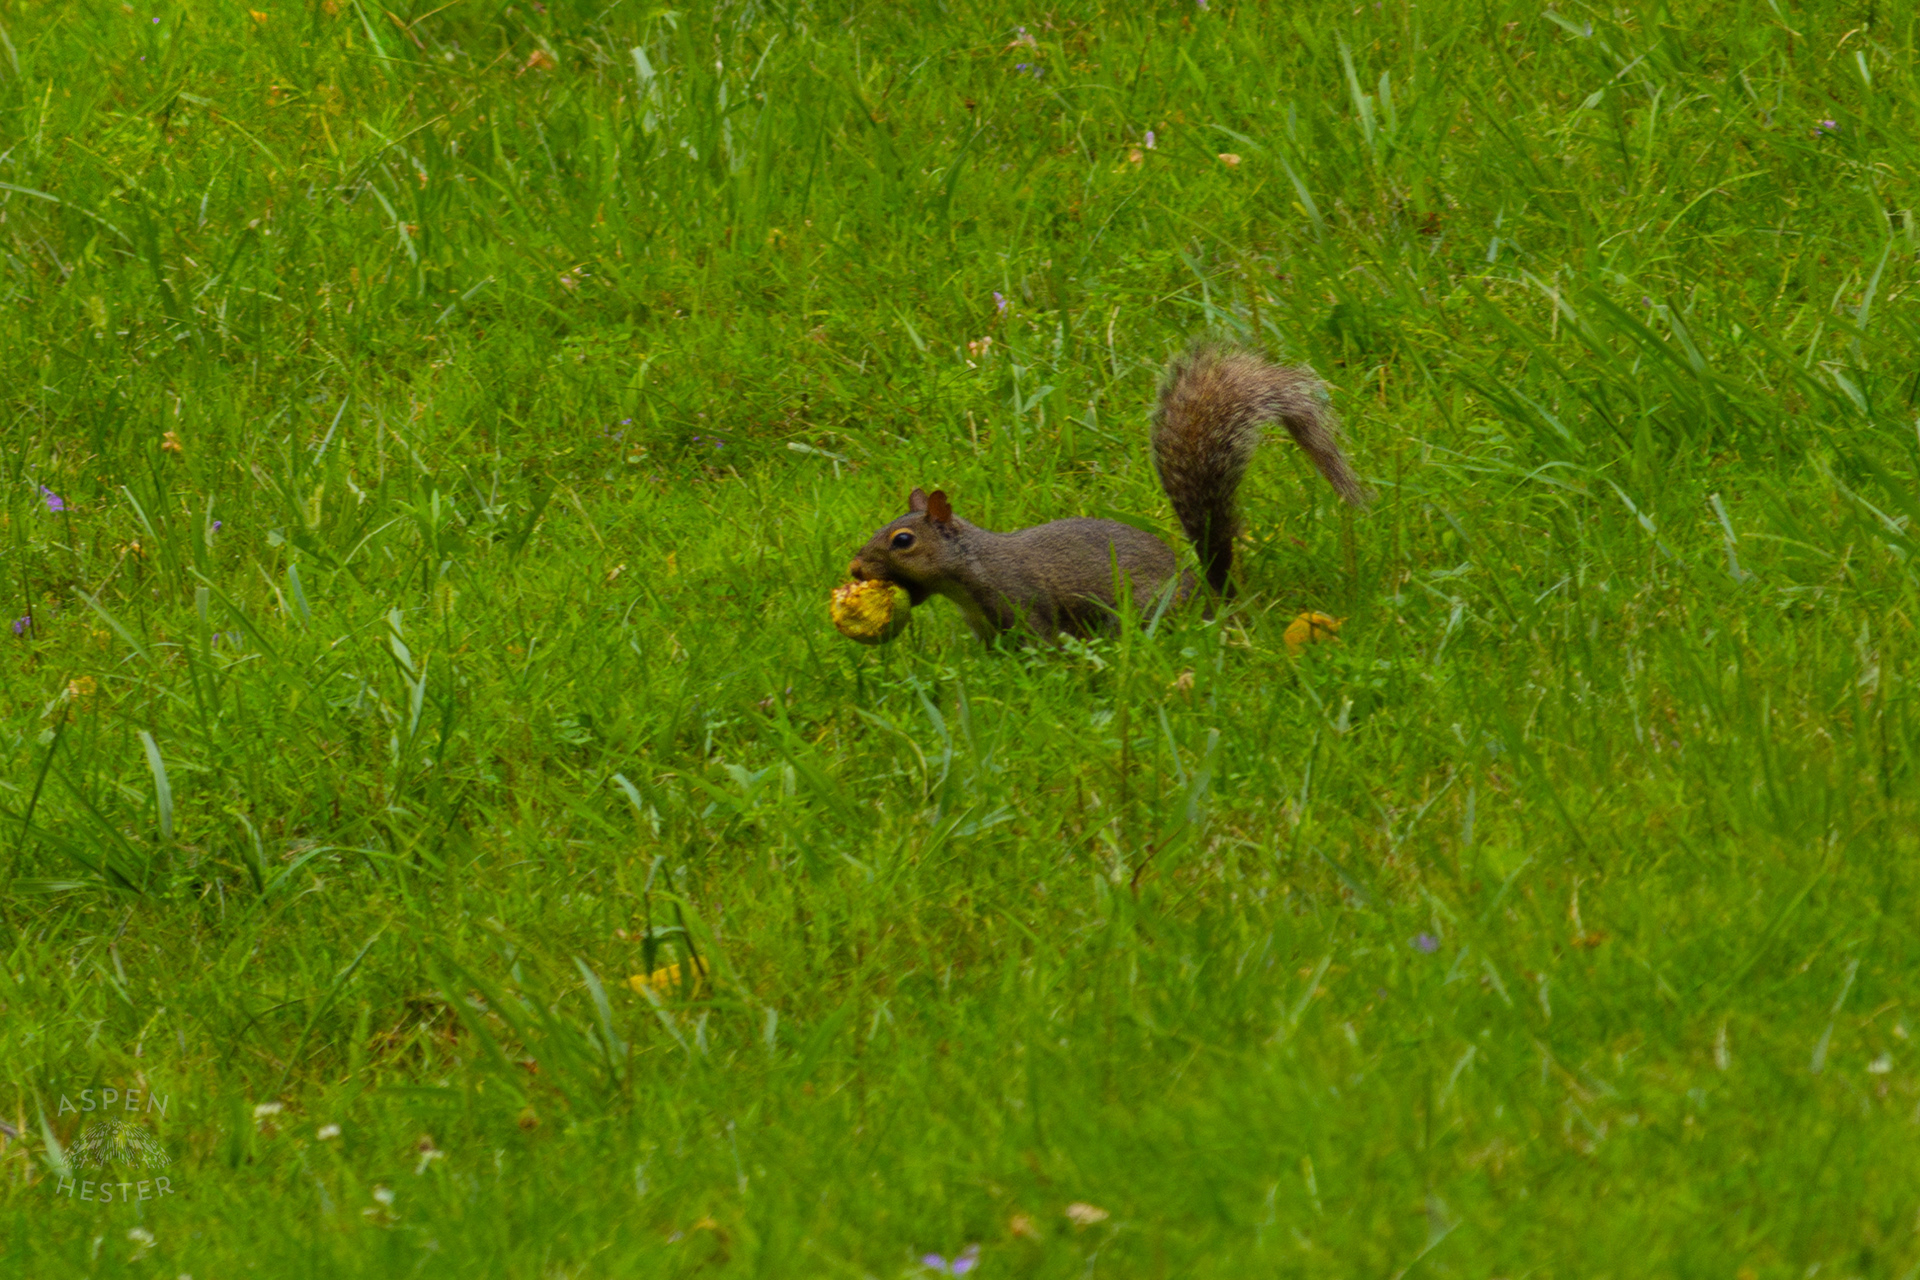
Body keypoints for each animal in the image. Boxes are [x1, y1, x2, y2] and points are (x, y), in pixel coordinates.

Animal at [847, 344, 1366, 641]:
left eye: (903, 541)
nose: (854, 569)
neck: (969, 571)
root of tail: (1213, 597)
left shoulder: (1023, 602)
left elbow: (1041, 643)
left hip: (1138, 608)